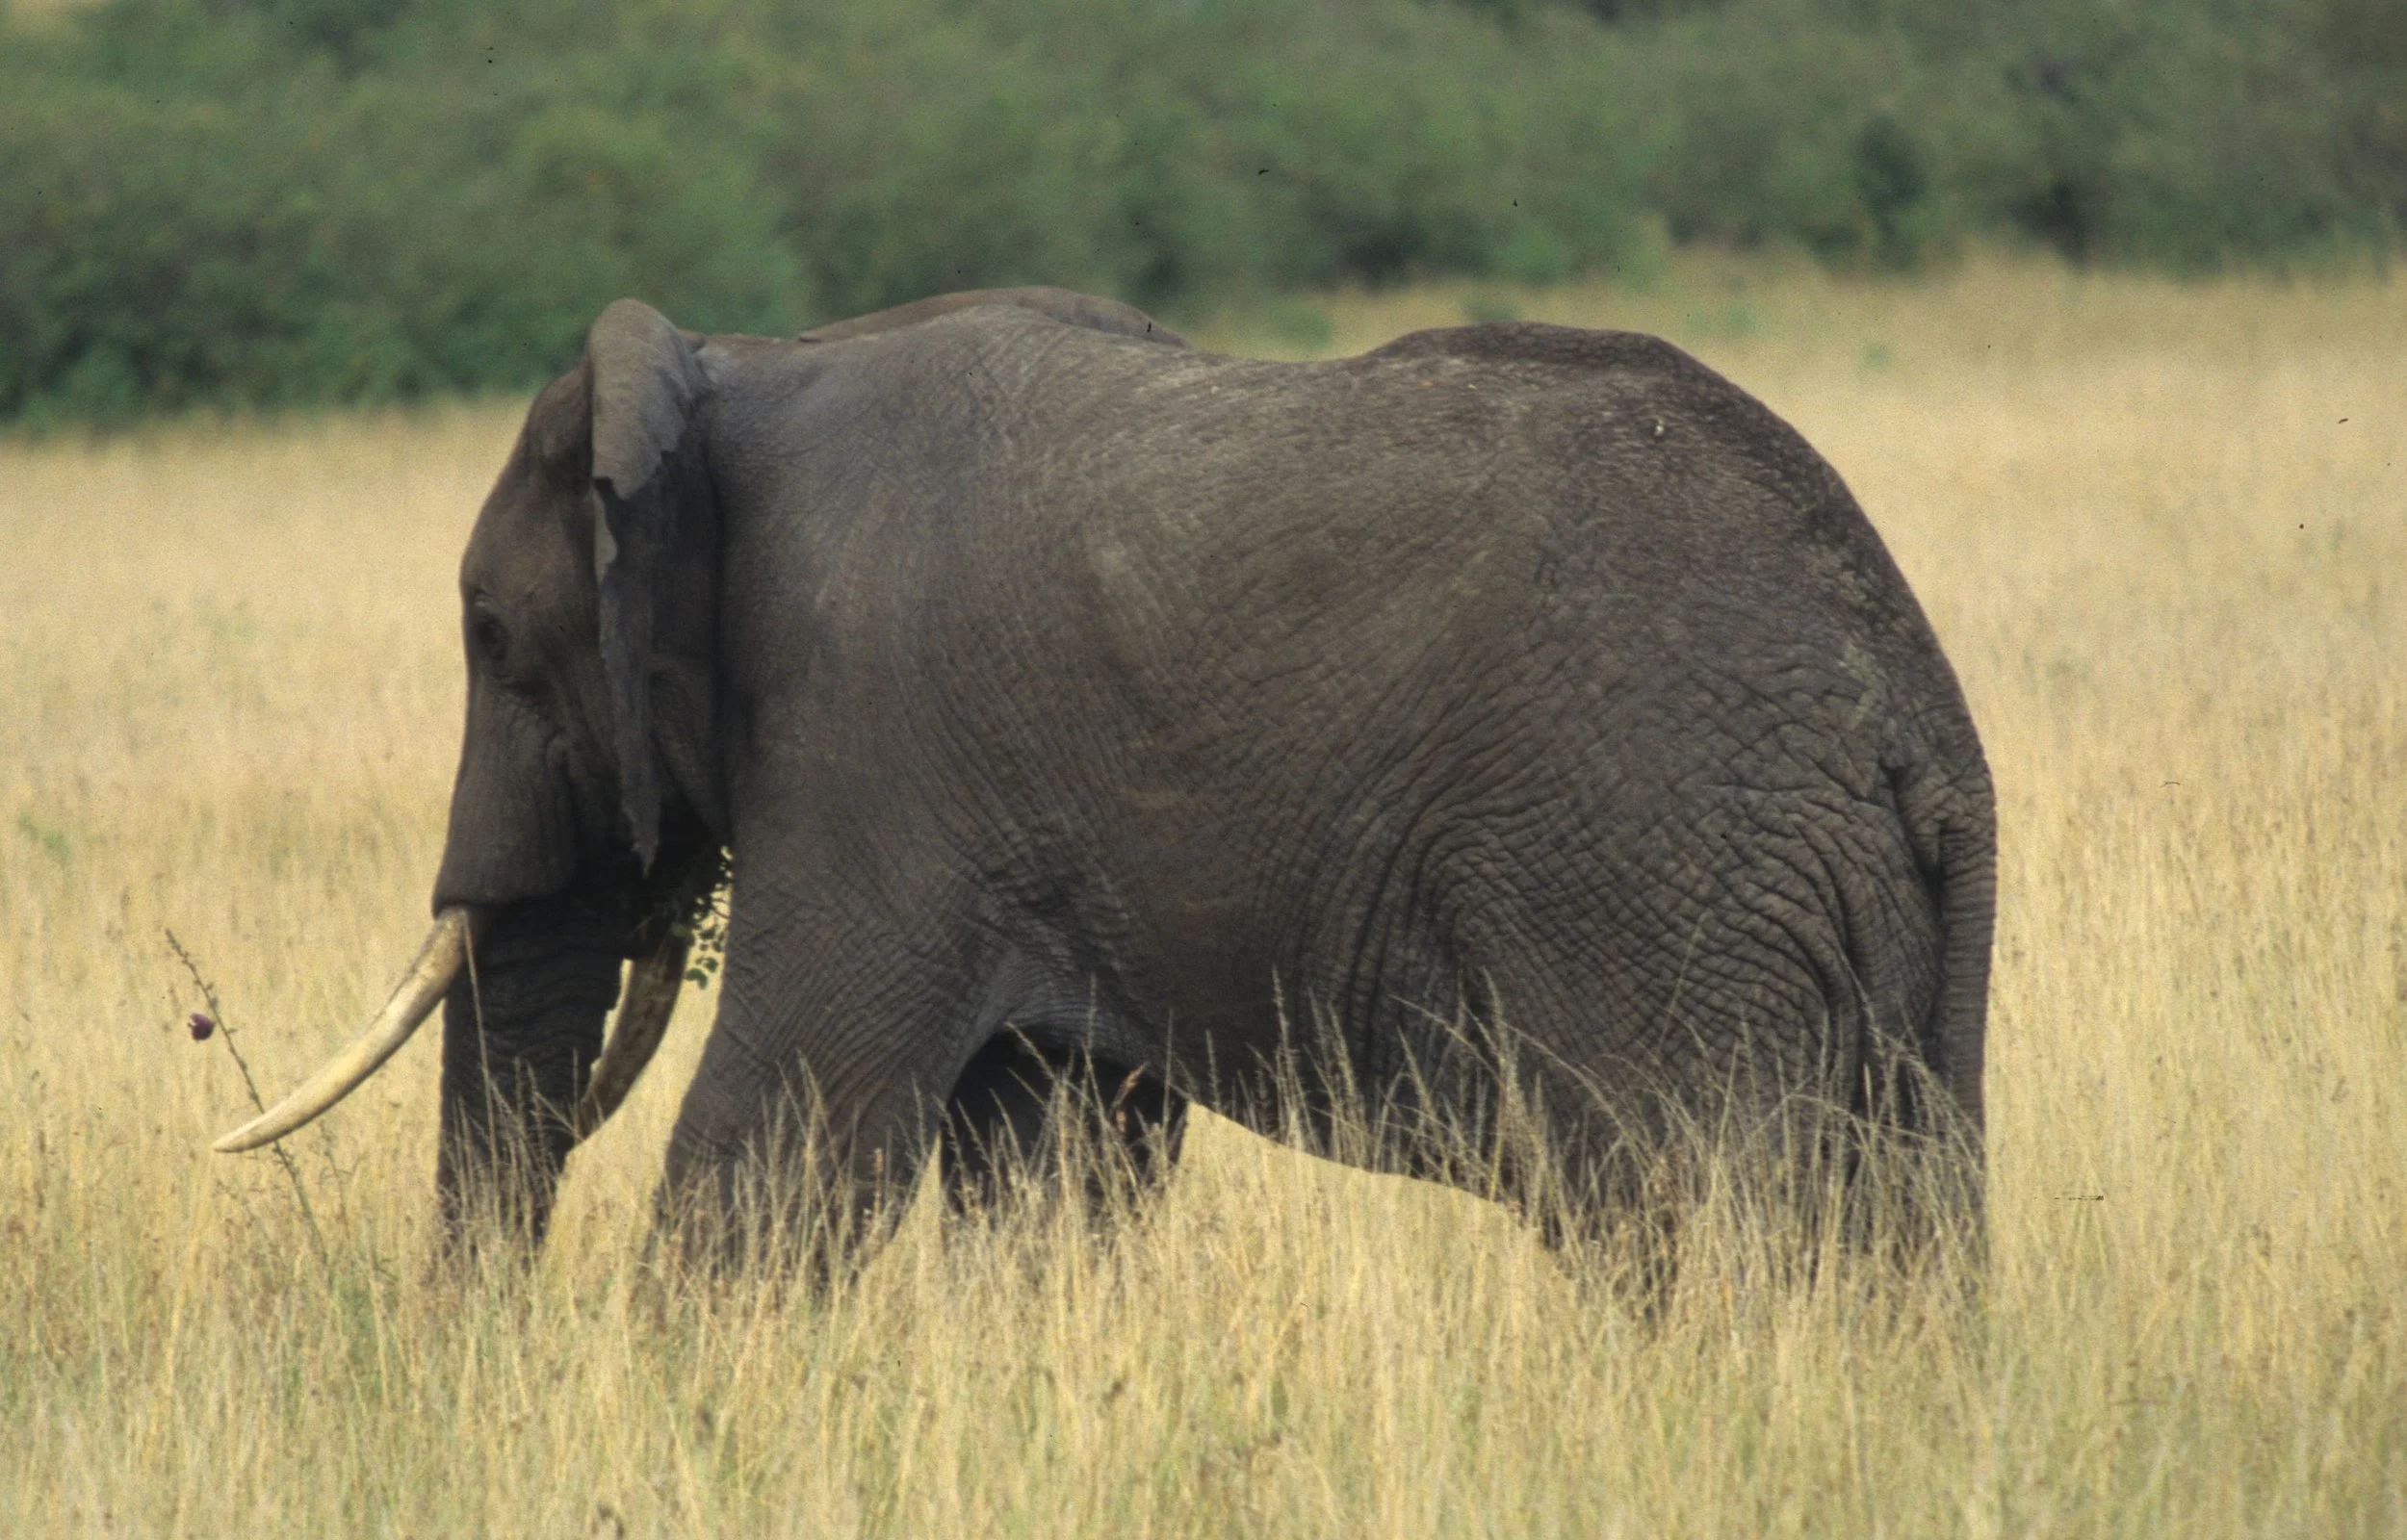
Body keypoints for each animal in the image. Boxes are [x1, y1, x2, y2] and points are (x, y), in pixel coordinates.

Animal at [217, 284, 1995, 1265]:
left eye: (492, 637)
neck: (736, 374)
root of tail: (1917, 721)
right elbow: (1051, 1172)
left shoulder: (874, 753)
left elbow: (776, 1139)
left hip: (1649, 892)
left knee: (1692, 1216)